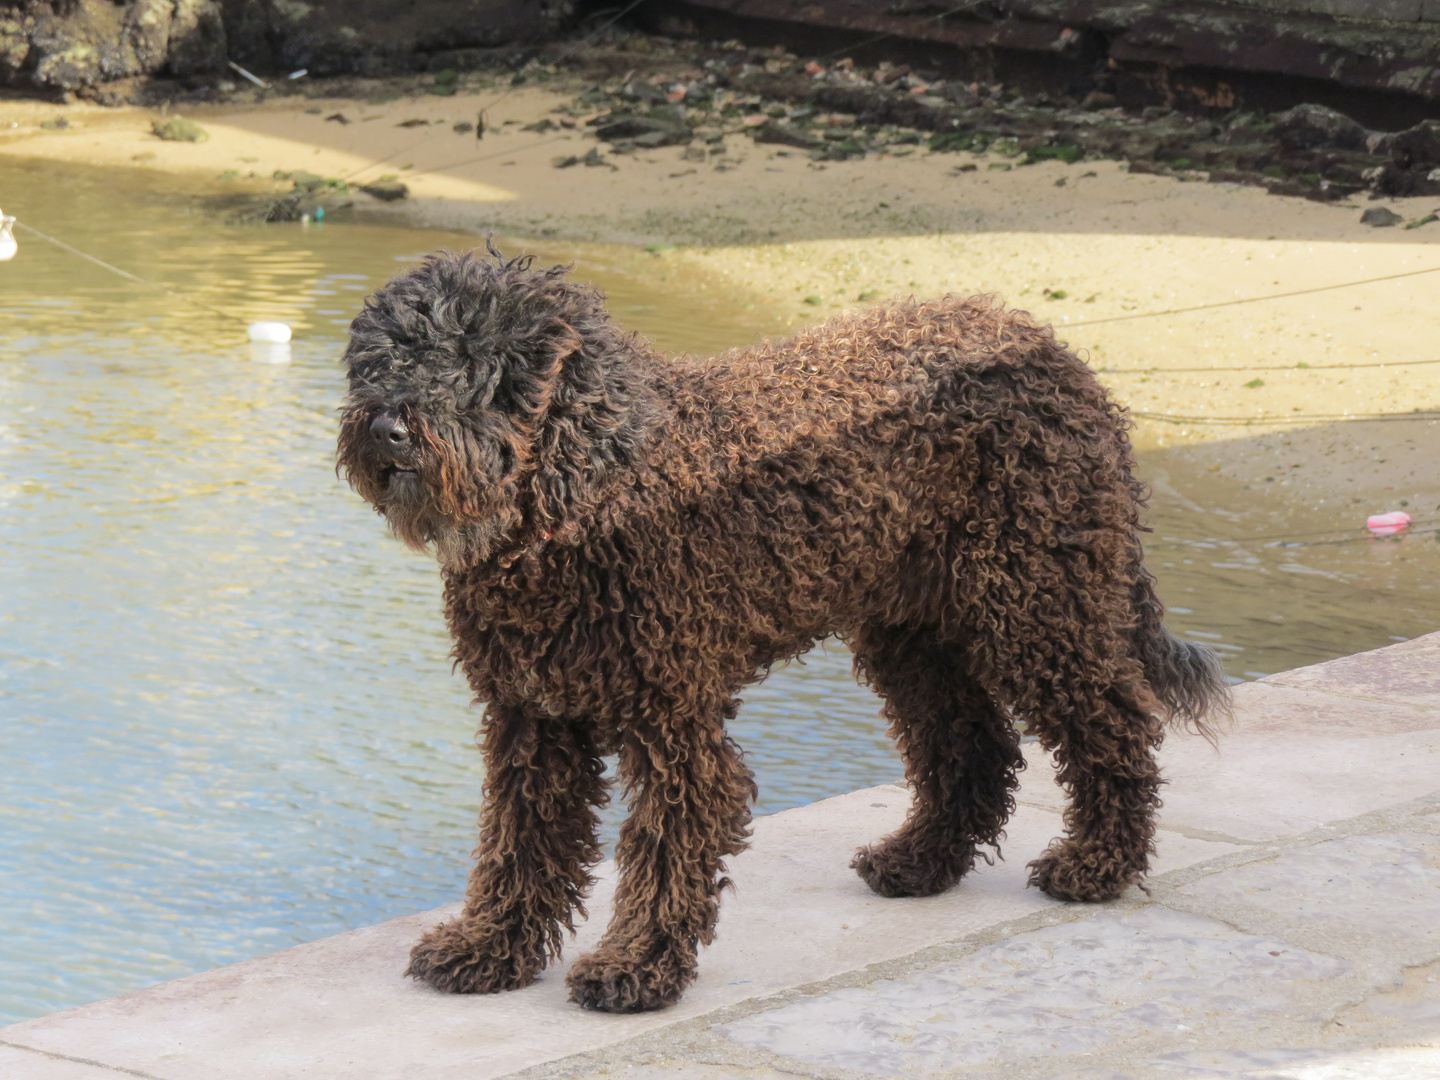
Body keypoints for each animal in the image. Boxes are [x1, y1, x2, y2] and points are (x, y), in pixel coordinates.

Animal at [336, 243, 1226, 1013]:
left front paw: (636, 967)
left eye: (472, 363)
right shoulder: (534, 716)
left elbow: (667, 844)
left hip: (1037, 600)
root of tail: (1055, 351)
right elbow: (521, 841)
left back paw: (1098, 864)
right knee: (972, 746)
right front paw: (490, 949)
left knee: (1113, 722)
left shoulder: (672, 721)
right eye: (383, 360)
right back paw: (920, 861)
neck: (582, 486)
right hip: (915, 631)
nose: (386, 426)